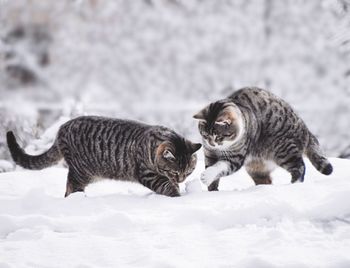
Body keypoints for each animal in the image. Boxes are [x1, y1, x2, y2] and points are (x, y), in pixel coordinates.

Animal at [6, 115, 201, 197]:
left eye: (188, 172)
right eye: (176, 172)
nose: (182, 179)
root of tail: (62, 128)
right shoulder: (148, 174)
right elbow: (165, 185)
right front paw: (175, 193)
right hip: (81, 172)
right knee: (70, 188)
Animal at [194, 86, 334, 191]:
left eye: (218, 136)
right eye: (205, 135)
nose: (211, 144)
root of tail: (306, 129)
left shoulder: (235, 157)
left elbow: (220, 166)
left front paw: (207, 176)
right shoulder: (210, 154)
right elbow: (212, 168)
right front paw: (212, 189)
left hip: (284, 149)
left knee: (300, 167)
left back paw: (293, 184)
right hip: (257, 168)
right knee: (266, 180)